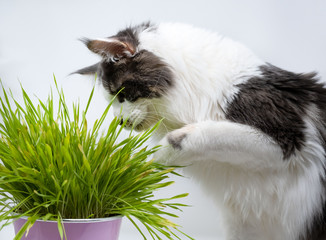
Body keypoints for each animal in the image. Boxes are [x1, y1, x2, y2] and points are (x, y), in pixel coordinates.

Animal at [75, 21, 326, 239]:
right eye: (111, 99)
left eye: (120, 95)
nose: (119, 121)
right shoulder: (243, 221)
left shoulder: (289, 139)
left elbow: (203, 135)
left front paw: (156, 158)